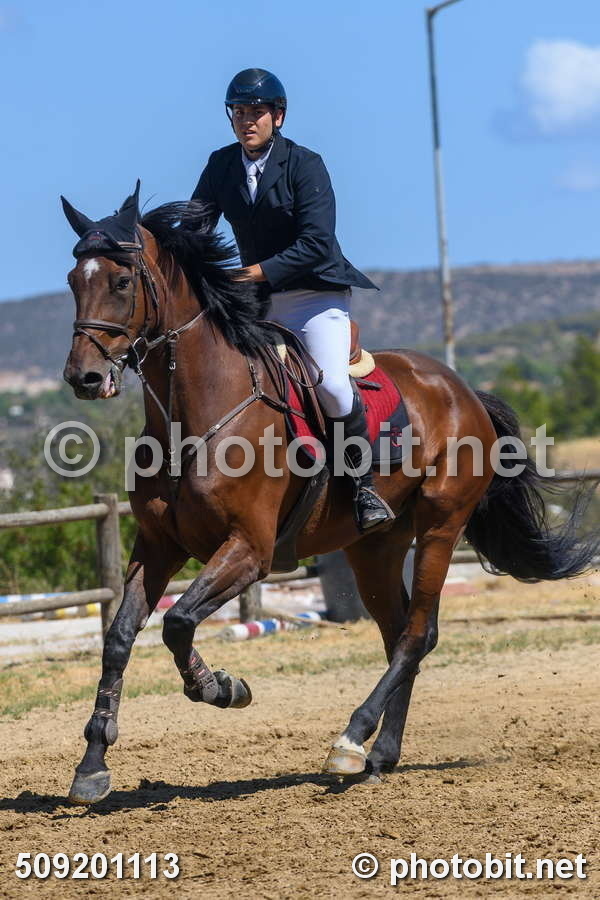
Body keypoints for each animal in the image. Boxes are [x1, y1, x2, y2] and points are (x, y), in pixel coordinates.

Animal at [60, 184, 597, 805]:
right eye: (73, 281)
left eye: (122, 282)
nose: (83, 378)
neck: (193, 415)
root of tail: (462, 389)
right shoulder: (158, 545)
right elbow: (121, 636)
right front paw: (92, 764)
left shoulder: (249, 550)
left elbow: (179, 622)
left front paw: (222, 687)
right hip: (376, 547)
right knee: (398, 634)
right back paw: (379, 755)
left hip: (441, 524)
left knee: (416, 635)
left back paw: (350, 740)